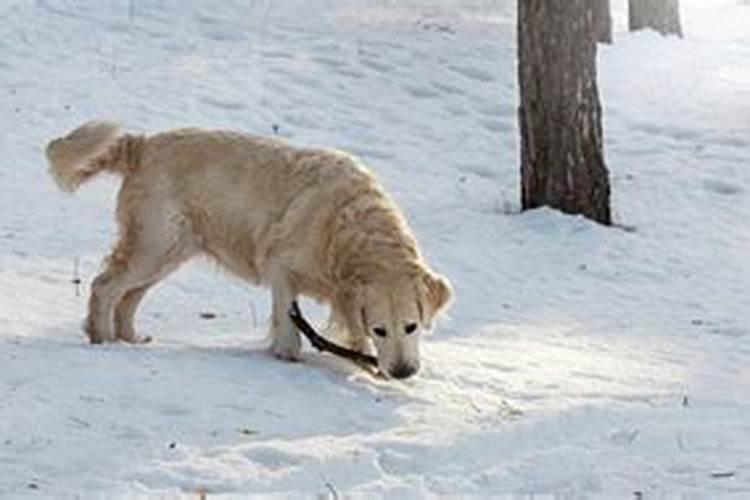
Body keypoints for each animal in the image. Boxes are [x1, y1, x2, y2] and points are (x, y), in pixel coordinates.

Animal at [47, 122, 452, 378]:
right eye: (381, 330)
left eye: (412, 326)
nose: (403, 373)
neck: (345, 227)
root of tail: (142, 144)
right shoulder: (281, 267)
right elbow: (288, 319)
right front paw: (288, 356)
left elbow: (349, 327)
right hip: (154, 245)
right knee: (105, 286)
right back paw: (102, 339)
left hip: (168, 251)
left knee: (128, 297)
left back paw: (129, 339)